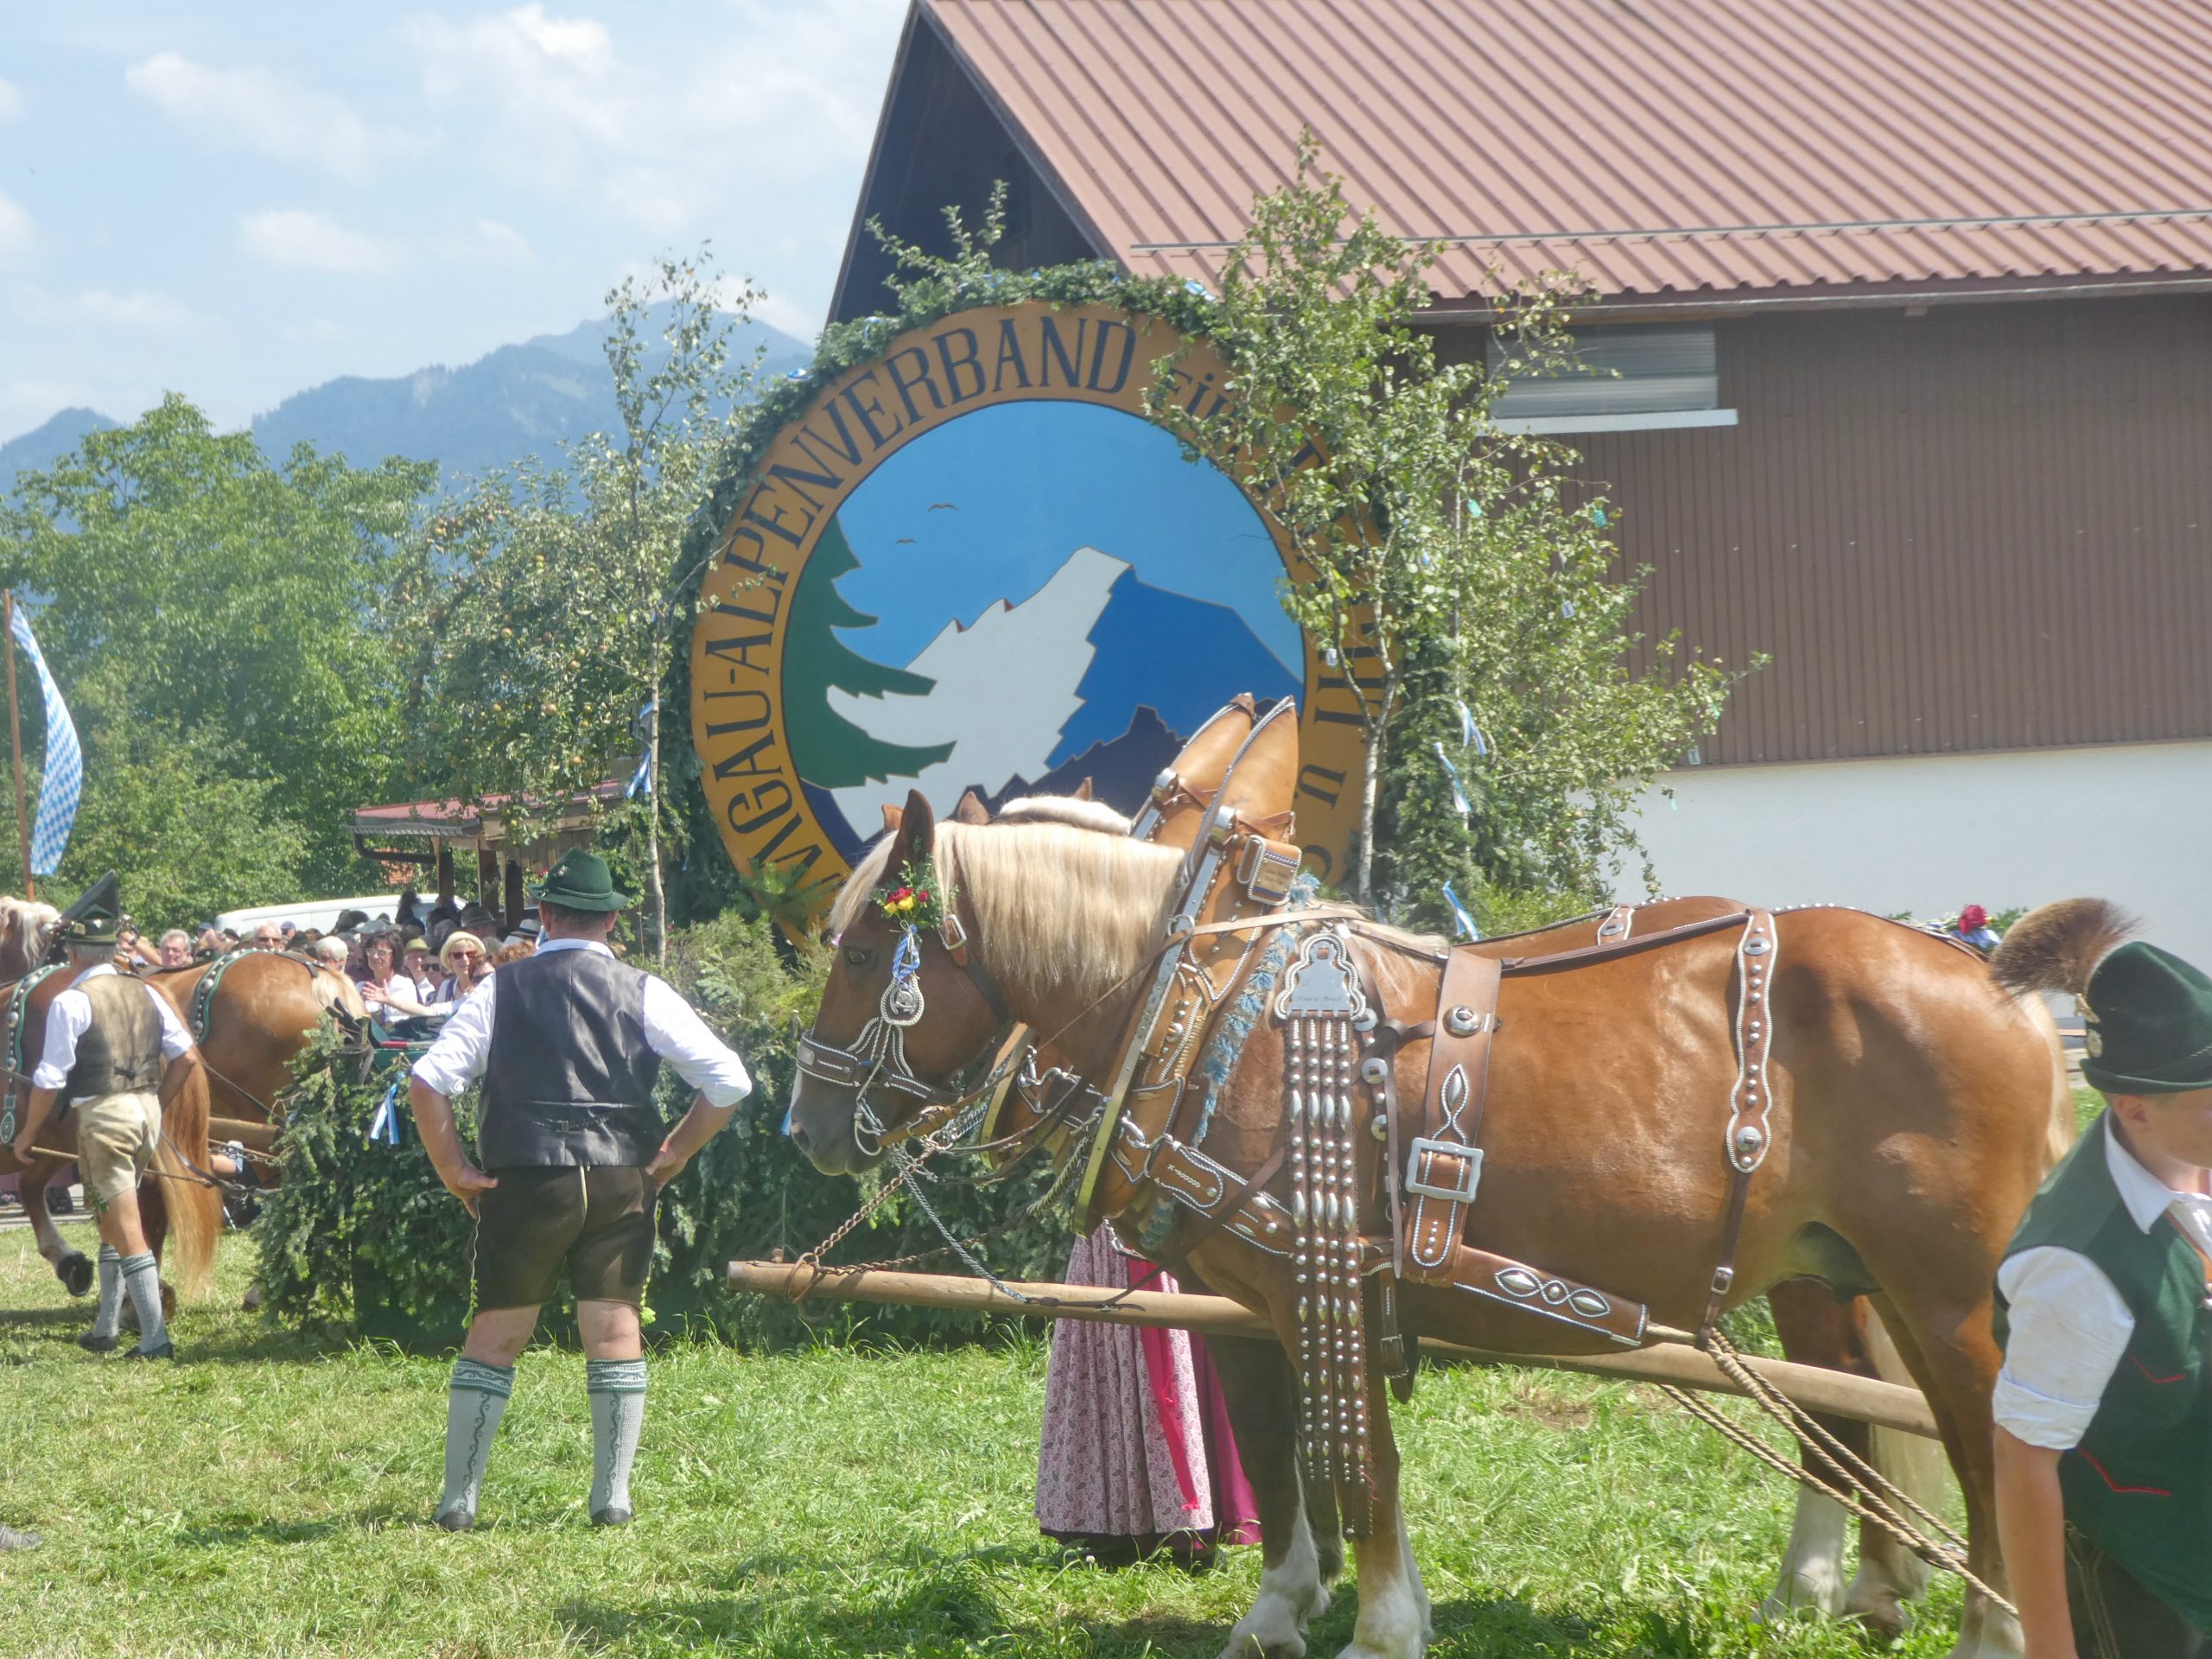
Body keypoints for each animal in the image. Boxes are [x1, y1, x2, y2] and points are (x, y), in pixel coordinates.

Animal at [789, 793, 2070, 1659]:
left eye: (863, 950)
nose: (806, 1122)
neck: (1206, 1014)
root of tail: (1999, 980)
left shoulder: (1327, 1277)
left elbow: (1362, 1462)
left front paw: (1380, 1621)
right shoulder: (1259, 1296)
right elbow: (1285, 1445)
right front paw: (1282, 1604)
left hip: (1946, 1293)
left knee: (1974, 1445)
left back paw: (1979, 1626)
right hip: (1840, 1271)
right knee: (1857, 1415)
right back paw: (1841, 1593)